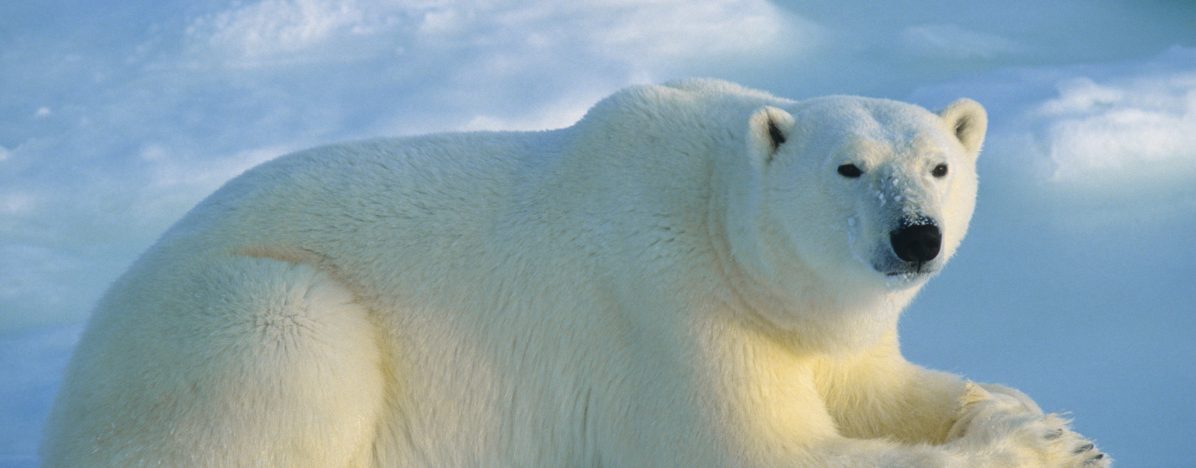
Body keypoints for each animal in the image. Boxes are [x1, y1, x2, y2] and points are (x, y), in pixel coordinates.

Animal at [42, 78, 1108, 467]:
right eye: (849, 167)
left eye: (938, 164)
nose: (914, 237)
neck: (716, 216)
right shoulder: (672, 312)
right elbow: (767, 448)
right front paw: (1031, 445)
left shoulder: (805, 321)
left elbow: (876, 385)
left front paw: (1036, 414)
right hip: (239, 315)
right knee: (293, 338)